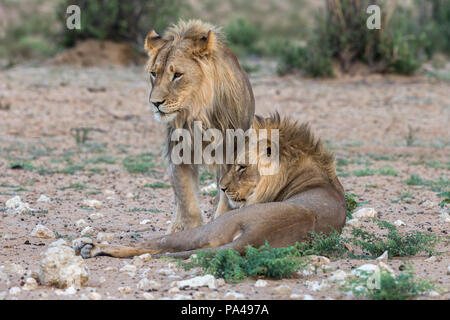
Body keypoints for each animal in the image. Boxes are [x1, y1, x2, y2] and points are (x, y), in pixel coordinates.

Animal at [75, 114, 346, 258]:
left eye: (241, 166)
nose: (222, 189)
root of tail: (258, 234)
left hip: (210, 228)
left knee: (152, 243)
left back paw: (90, 246)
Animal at [146, 20, 255, 232]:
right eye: (154, 74)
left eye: (177, 75)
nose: (155, 103)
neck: (198, 115)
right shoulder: (178, 155)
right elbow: (187, 203)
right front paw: (188, 230)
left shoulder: (232, 155)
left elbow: (225, 201)